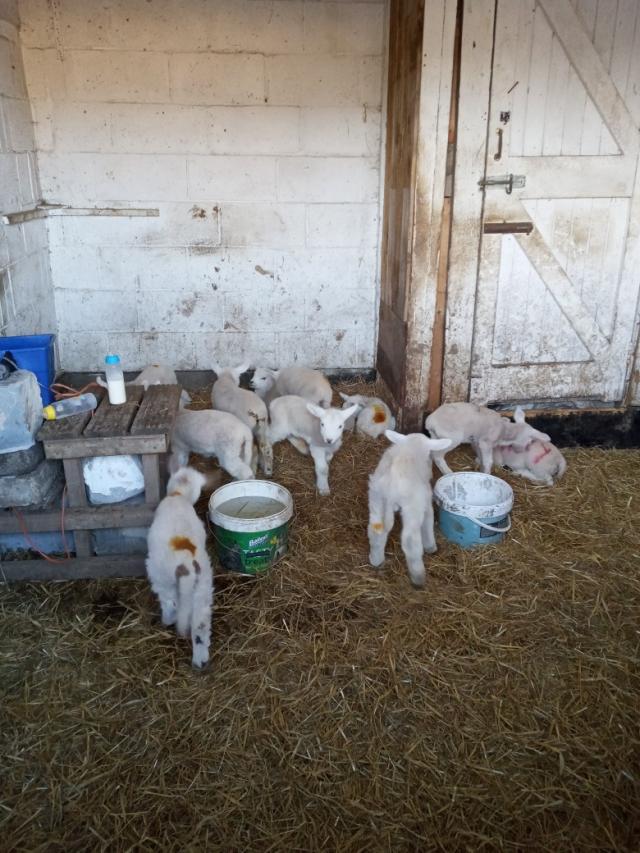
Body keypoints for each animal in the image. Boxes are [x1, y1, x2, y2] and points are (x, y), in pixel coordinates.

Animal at [146, 467, 213, 669]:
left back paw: (167, 620)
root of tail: (186, 565)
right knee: (200, 625)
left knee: (171, 603)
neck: (178, 494)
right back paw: (200, 660)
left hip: (162, 579)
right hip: (203, 588)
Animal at [368, 431, 452, 588]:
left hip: (376, 498)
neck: (412, 447)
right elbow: (428, 521)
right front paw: (431, 547)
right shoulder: (426, 501)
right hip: (412, 507)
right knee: (410, 541)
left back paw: (376, 560)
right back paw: (418, 578)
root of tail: (391, 482)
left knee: (376, 529)